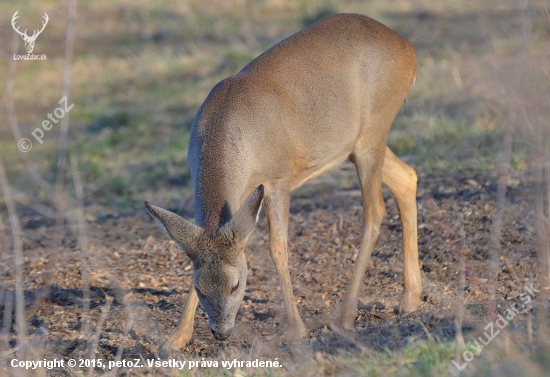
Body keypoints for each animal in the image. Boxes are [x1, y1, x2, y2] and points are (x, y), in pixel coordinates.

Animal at [147, 13, 422, 350]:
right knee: (407, 177)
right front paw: (176, 338)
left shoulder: (277, 178)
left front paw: (295, 330)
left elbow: (278, 248)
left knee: (375, 211)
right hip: (356, 145)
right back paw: (410, 299)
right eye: (201, 288)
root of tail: (407, 47)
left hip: (373, 131)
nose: (221, 333)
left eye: (236, 285)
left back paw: (345, 316)